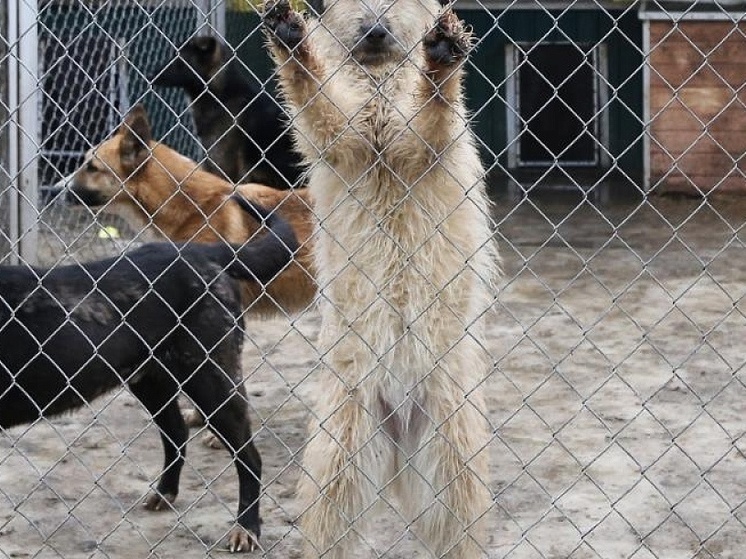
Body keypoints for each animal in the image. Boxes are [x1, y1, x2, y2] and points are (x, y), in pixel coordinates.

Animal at [0, 200, 296, 552]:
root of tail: (200, 251)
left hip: (211, 380)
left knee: (248, 456)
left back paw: (246, 528)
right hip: (153, 382)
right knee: (177, 433)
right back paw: (165, 492)